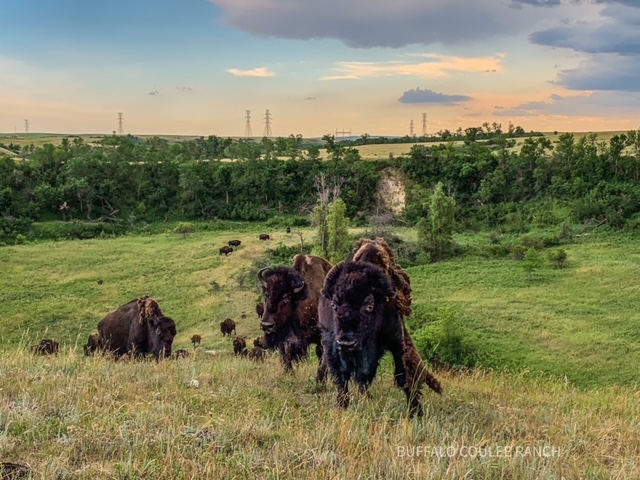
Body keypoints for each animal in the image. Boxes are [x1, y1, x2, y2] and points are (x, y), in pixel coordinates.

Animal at [318, 260, 442, 418]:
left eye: (369, 305)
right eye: (334, 305)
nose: (347, 343)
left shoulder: (397, 341)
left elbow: (404, 376)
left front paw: (415, 412)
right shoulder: (332, 346)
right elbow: (341, 376)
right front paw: (342, 407)